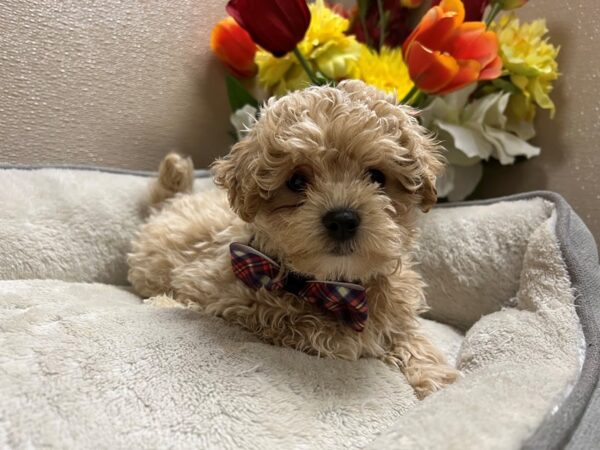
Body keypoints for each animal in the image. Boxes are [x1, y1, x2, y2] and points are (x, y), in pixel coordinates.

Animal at [129, 80, 460, 398]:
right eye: (297, 181)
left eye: (377, 176)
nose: (342, 219)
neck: (333, 285)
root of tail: (173, 202)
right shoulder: (226, 292)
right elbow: (297, 324)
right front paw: (349, 340)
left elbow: (408, 335)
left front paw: (436, 378)